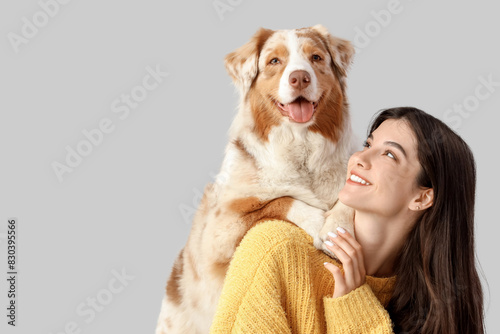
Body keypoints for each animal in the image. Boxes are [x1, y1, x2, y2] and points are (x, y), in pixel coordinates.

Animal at [156, 24, 356, 332]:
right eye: (274, 61)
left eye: (316, 57)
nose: (300, 77)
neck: (302, 153)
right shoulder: (218, 231)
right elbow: (280, 200)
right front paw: (318, 220)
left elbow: (351, 194)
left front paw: (336, 228)